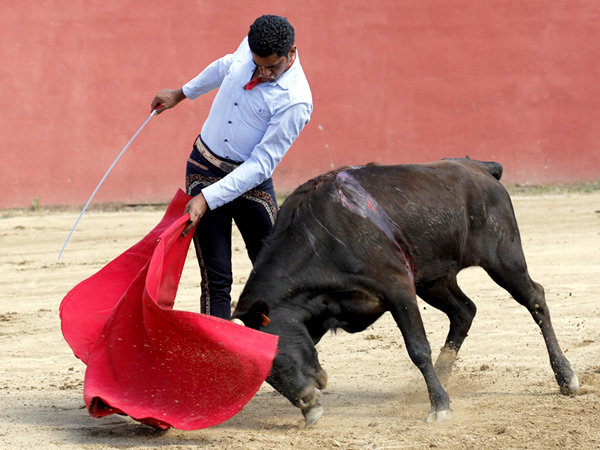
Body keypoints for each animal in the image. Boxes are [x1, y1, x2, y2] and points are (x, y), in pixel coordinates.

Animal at [230, 158, 576, 426]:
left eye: (279, 351)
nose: (307, 406)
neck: (318, 237)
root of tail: (479, 167)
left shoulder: (397, 287)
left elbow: (417, 348)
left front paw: (440, 409)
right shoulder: (315, 314)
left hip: (504, 259)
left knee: (535, 299)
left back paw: (566, 377)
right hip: (435, 279)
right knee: (464, 310)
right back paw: (442, 378)